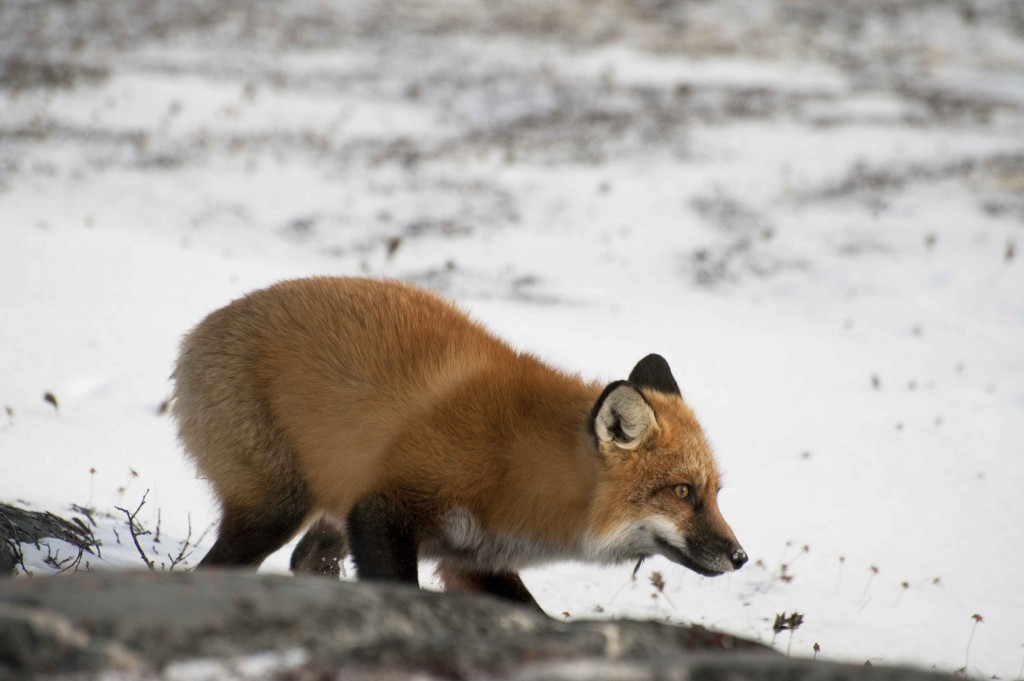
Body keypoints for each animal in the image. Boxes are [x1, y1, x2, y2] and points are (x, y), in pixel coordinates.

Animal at [172, 277, 746, 609]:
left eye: (716, 493)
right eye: (682, 492)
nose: (740, 557)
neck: (518, 462)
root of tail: (198, 330)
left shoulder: (472, 557)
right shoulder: (385, 512)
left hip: (331, 508)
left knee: (306, 560)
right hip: (276, 510)